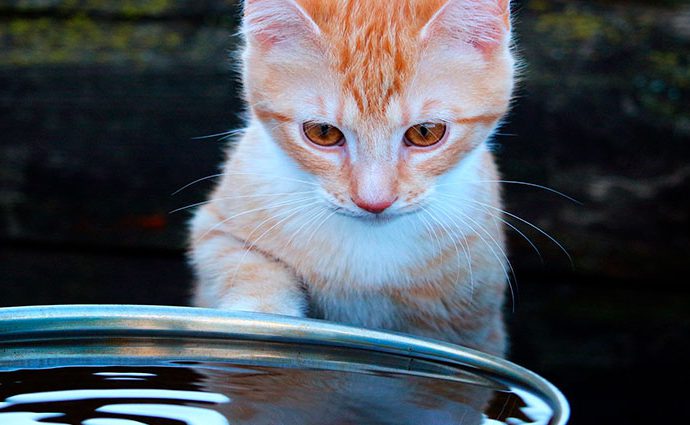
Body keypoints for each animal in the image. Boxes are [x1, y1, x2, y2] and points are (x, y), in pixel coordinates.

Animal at [188, 0, 510, 354]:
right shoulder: (217, 226)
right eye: (323, 132)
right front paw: (261, 318)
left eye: (426, 132)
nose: (374, 201)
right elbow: (248, 265)